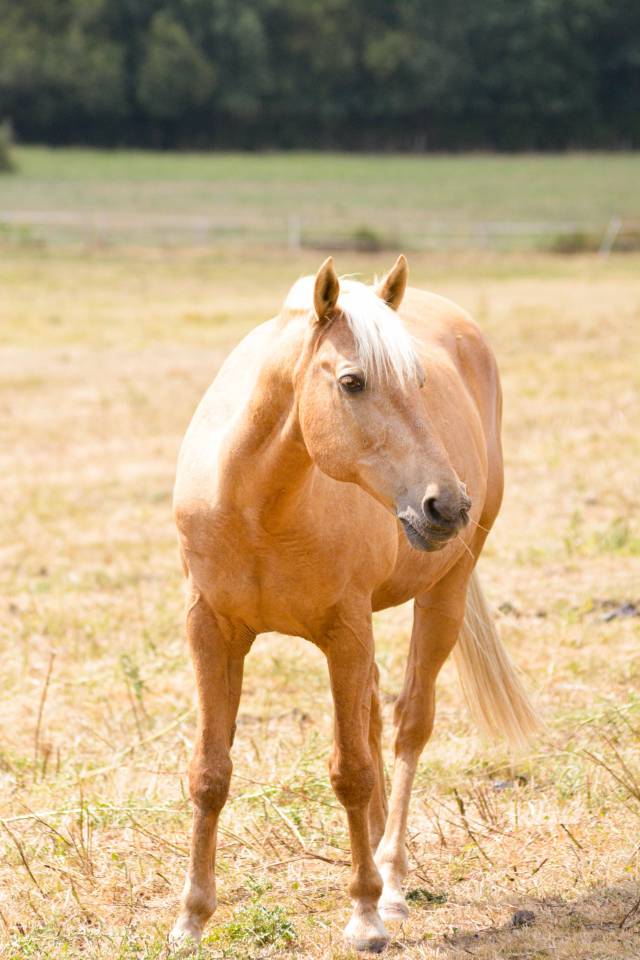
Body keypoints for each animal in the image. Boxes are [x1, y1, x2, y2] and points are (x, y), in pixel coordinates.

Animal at [170, 255, 538, 952]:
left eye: (418, 382)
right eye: (351, 382)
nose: (447, 504)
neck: (259, 507)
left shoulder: (344, 632)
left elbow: (351, 771)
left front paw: (365, 915)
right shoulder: (212, 631)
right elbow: (210, 772)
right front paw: (191, 920)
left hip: (444, 594)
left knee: (407, 725)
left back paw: (390, 880)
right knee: (370, 719)